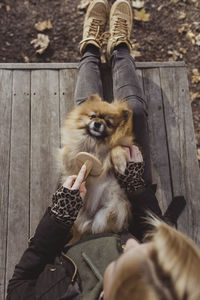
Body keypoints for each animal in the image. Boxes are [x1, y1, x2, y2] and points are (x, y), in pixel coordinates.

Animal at [59, 95, 134, 236]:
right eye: (93, 116)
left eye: (108, 123)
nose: (98, 123)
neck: (96, 143)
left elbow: (116, 147)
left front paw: (120, 163)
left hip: (111, 209)